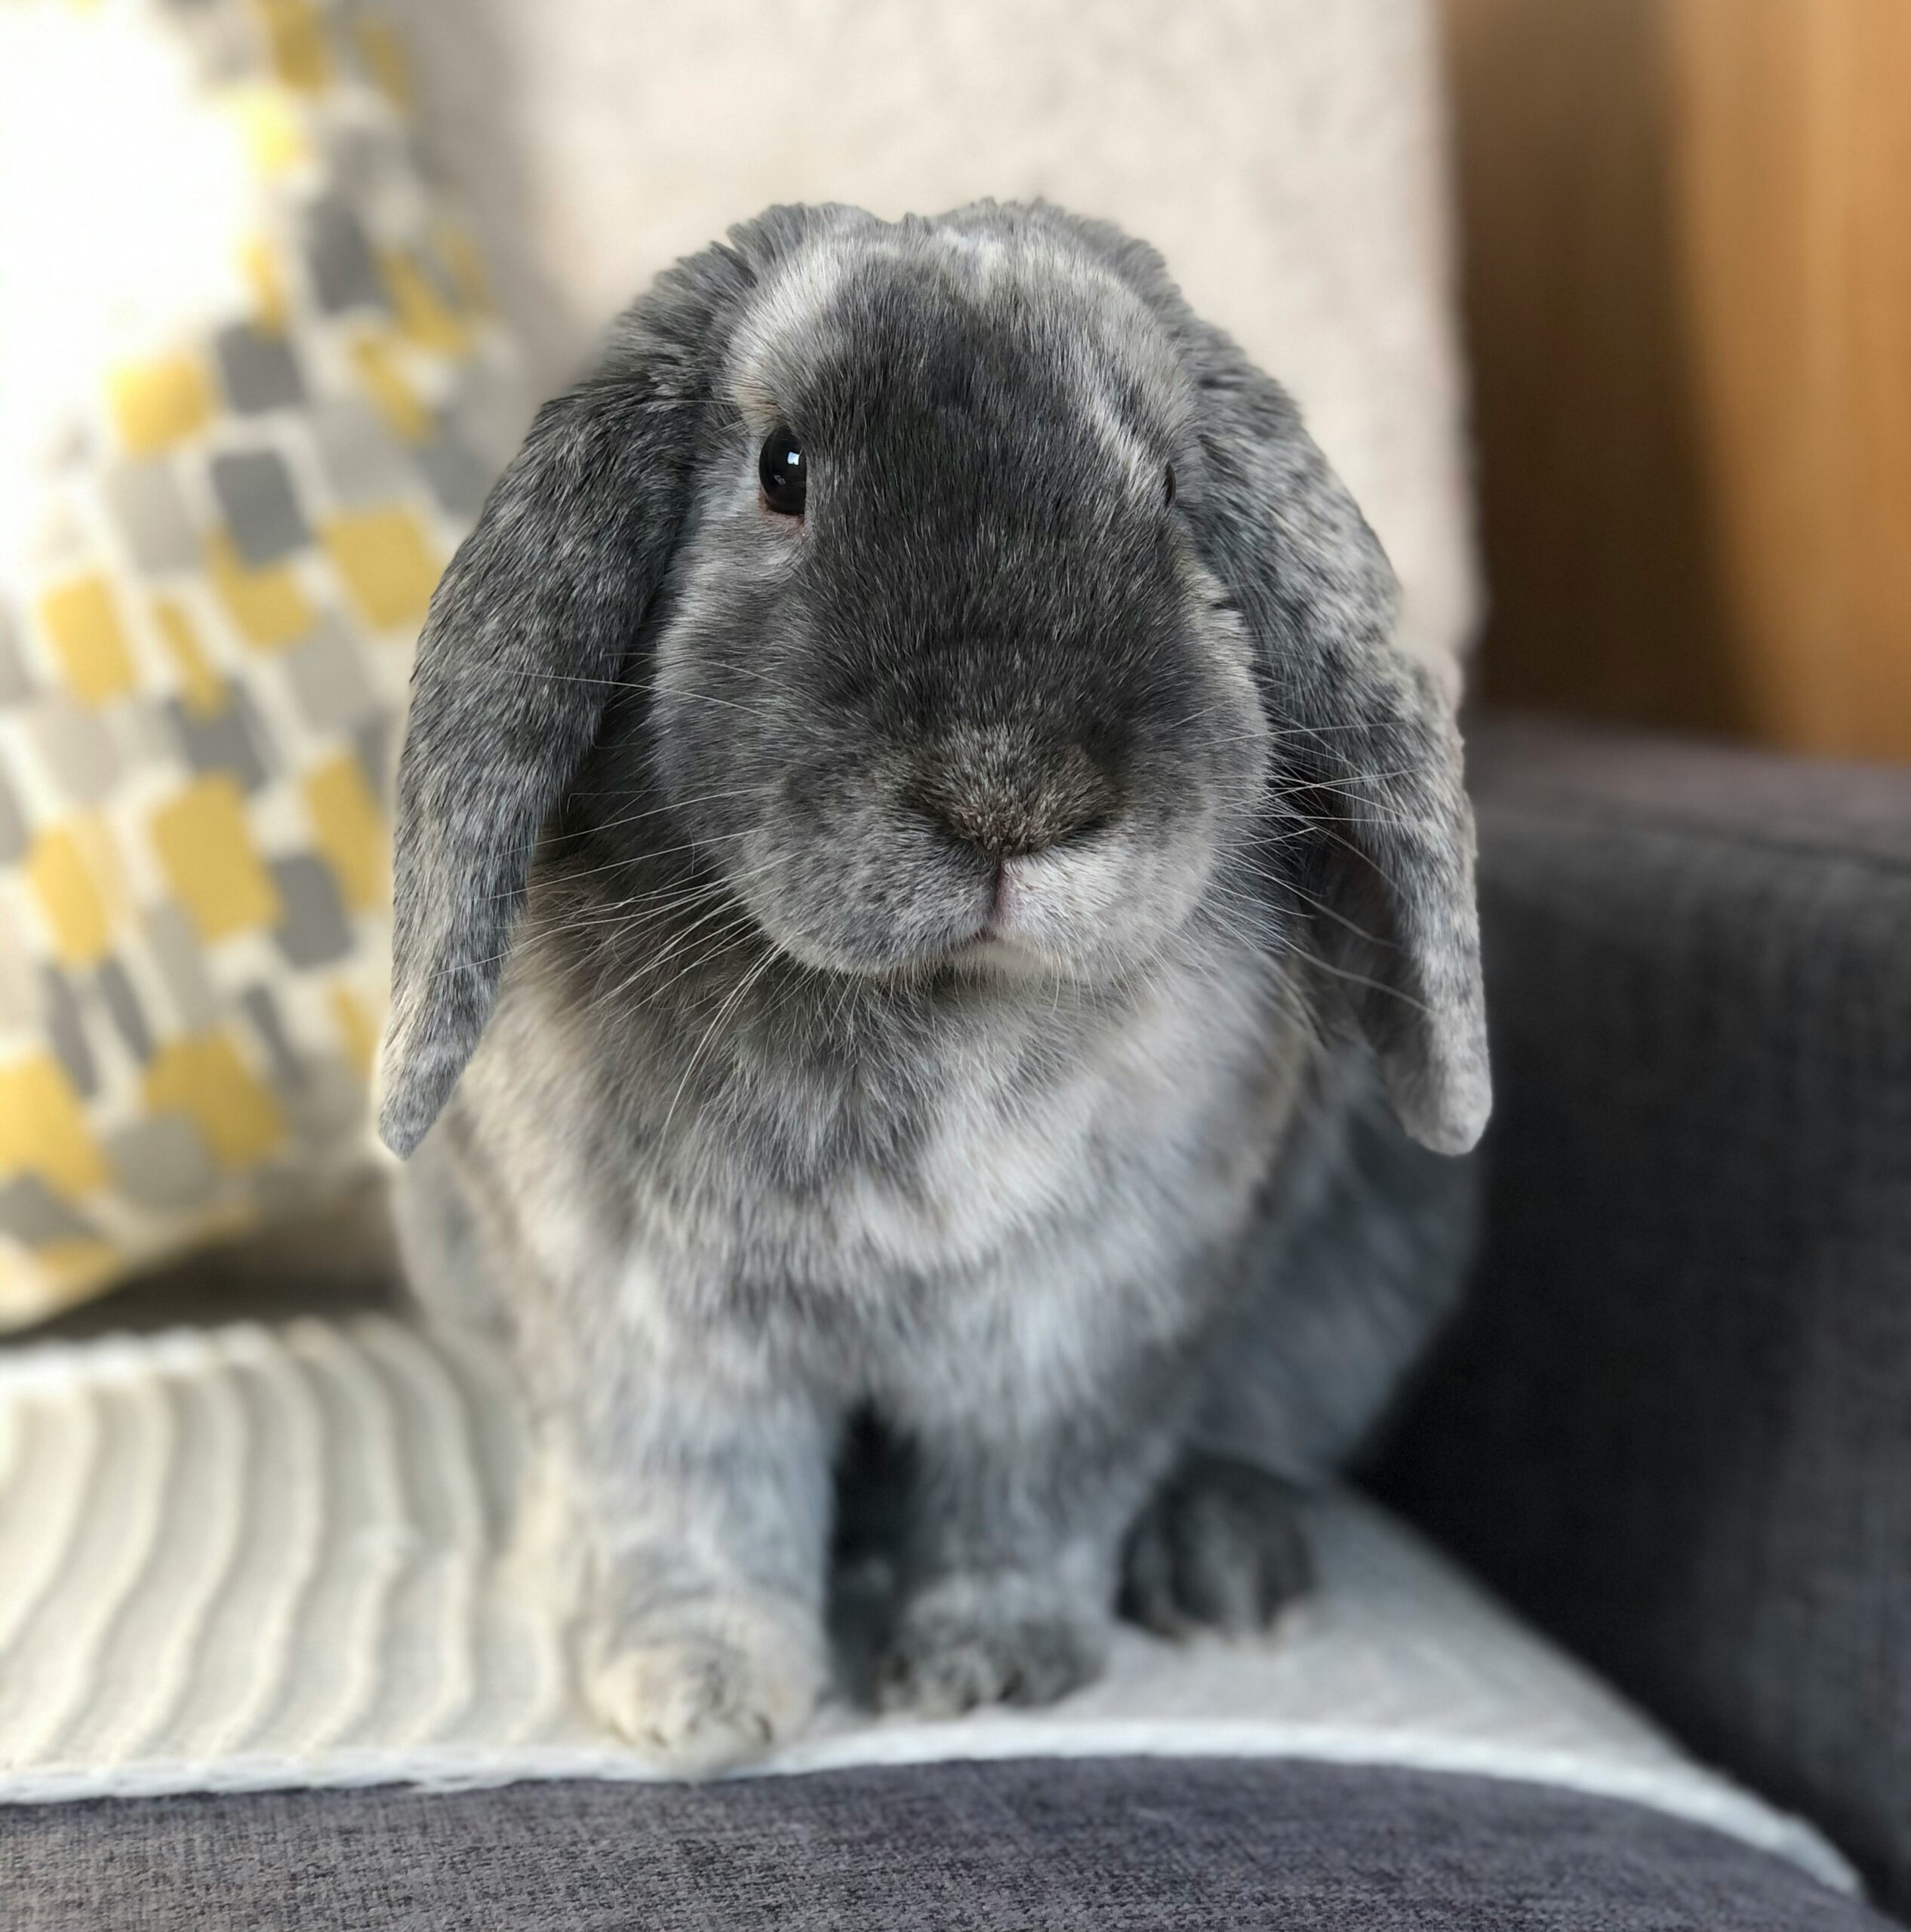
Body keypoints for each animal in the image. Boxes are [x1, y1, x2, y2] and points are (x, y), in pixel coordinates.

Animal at [377, 200, 1490, 1774]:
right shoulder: (649, 1330)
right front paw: (699, 1698)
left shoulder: (1079, 1330)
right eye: (782, 472)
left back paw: (1220, 1561)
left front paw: (987, 1672)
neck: (940, 1000)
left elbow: (1027, 1508)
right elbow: (693, 1516)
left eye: (1170, 490)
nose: (1009, 792)